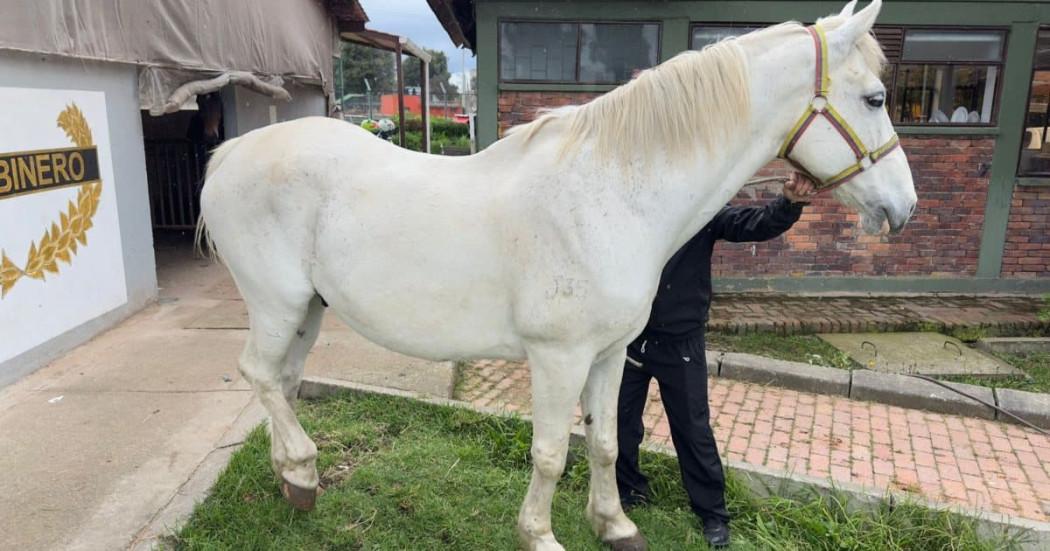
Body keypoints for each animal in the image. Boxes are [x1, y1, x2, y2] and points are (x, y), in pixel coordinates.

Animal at [197, 1, 915, 549]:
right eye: (875, 97)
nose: (903, 207)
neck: (613, 194)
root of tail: (231, 153)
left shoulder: (611, 353)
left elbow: (605, 444)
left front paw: (616, 524)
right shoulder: (558, 357)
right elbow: (550, 452)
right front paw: (539, 535)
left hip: (308, 311)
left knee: (284, 382)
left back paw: (292, 480)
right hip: (277, 303)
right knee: (259, 374)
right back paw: (302, 467)